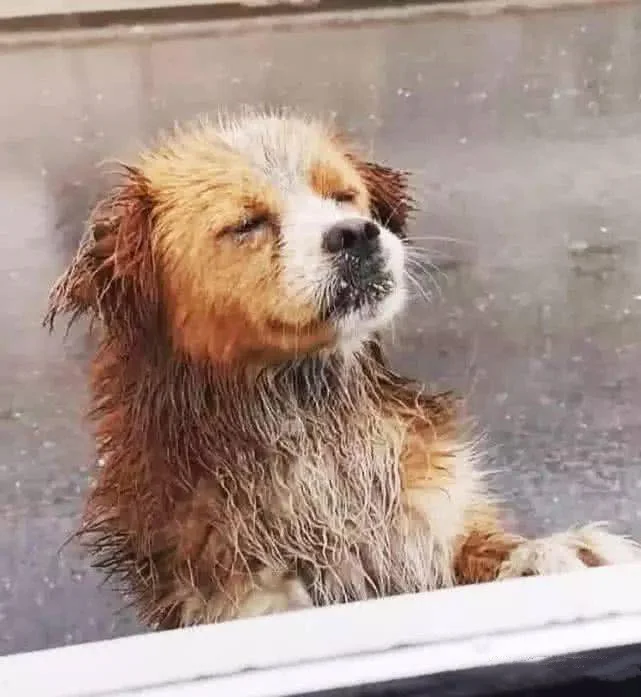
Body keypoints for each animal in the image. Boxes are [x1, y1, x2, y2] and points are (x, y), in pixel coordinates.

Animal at [46, 111, 640, 628]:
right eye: (246, 224)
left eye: (342, 196)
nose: (355, 233)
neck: (310, 413)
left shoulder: (434, 521)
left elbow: (484, 546)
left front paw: (555, 553)